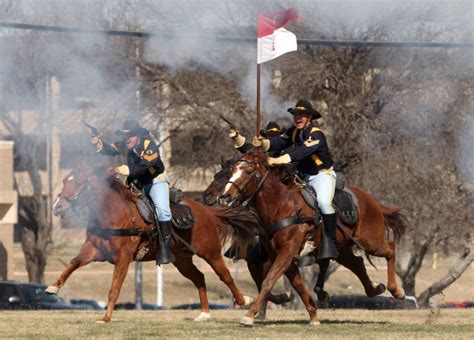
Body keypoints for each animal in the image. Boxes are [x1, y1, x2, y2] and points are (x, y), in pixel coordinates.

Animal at [45, 163, 258, 322]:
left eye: (80, 182)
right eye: (65, 180)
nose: (57, 207)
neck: (114, 212)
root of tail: (207, 211)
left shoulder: (123, 258)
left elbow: (114, 288)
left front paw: (106, 318)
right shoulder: (94, 249)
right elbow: (74, 262)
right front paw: (53, 286)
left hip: (210, 252)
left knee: (225, 276)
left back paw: (244, 300)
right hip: (182, 260)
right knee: (199, 278)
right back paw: (204, 313)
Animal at [218, 149, 408, 326]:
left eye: (248, 171)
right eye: (232, 170)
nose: (225, 196)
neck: (281, 206)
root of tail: (371, 201)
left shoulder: (287, 252)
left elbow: (268, 281)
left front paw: (250, 315)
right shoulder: (284, 257)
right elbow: (299, 287)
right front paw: (313, 316)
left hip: (370, 242)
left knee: (390, 249)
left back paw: (397, 291)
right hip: (342, 250)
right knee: (358, 264)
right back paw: (375, 289)